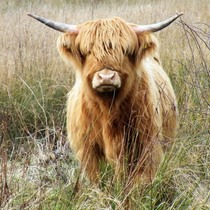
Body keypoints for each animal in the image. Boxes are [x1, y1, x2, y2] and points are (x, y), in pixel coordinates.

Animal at [28, 13, 181, 183]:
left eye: (125, 50)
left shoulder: (147, 143)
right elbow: (97, 180)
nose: (106, 77)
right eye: (87, 51)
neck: (109, 108)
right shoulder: (88, 150)